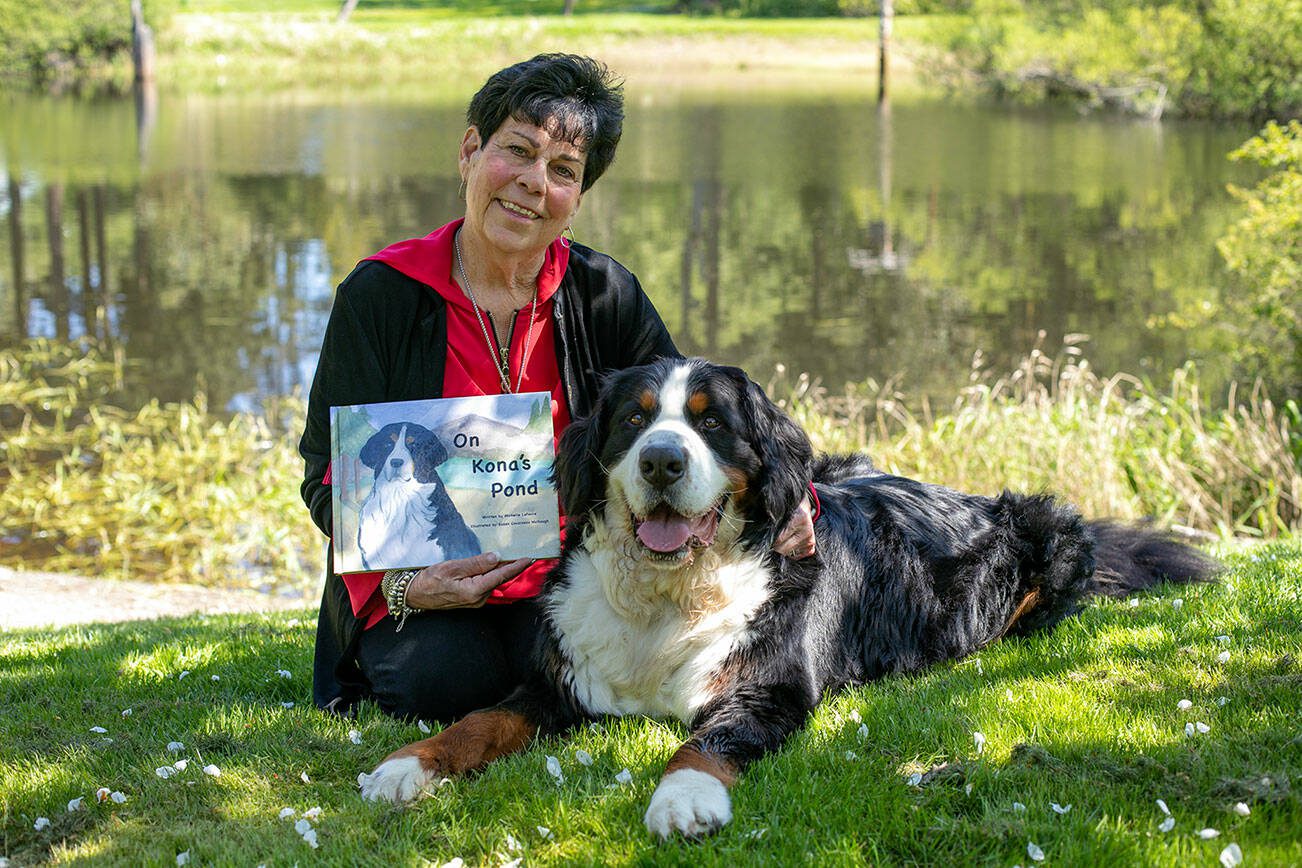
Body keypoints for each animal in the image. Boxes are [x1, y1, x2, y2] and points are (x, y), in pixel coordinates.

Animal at [354, 356, 1208, 838]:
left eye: (711, 424)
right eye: (633, 419)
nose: (662, 461)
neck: (665, 597)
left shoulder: (767, 688)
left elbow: (705, 741)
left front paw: (683, 800)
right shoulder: (559, 683)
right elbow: (478, 720)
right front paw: (405, 767)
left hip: (1048, 533)